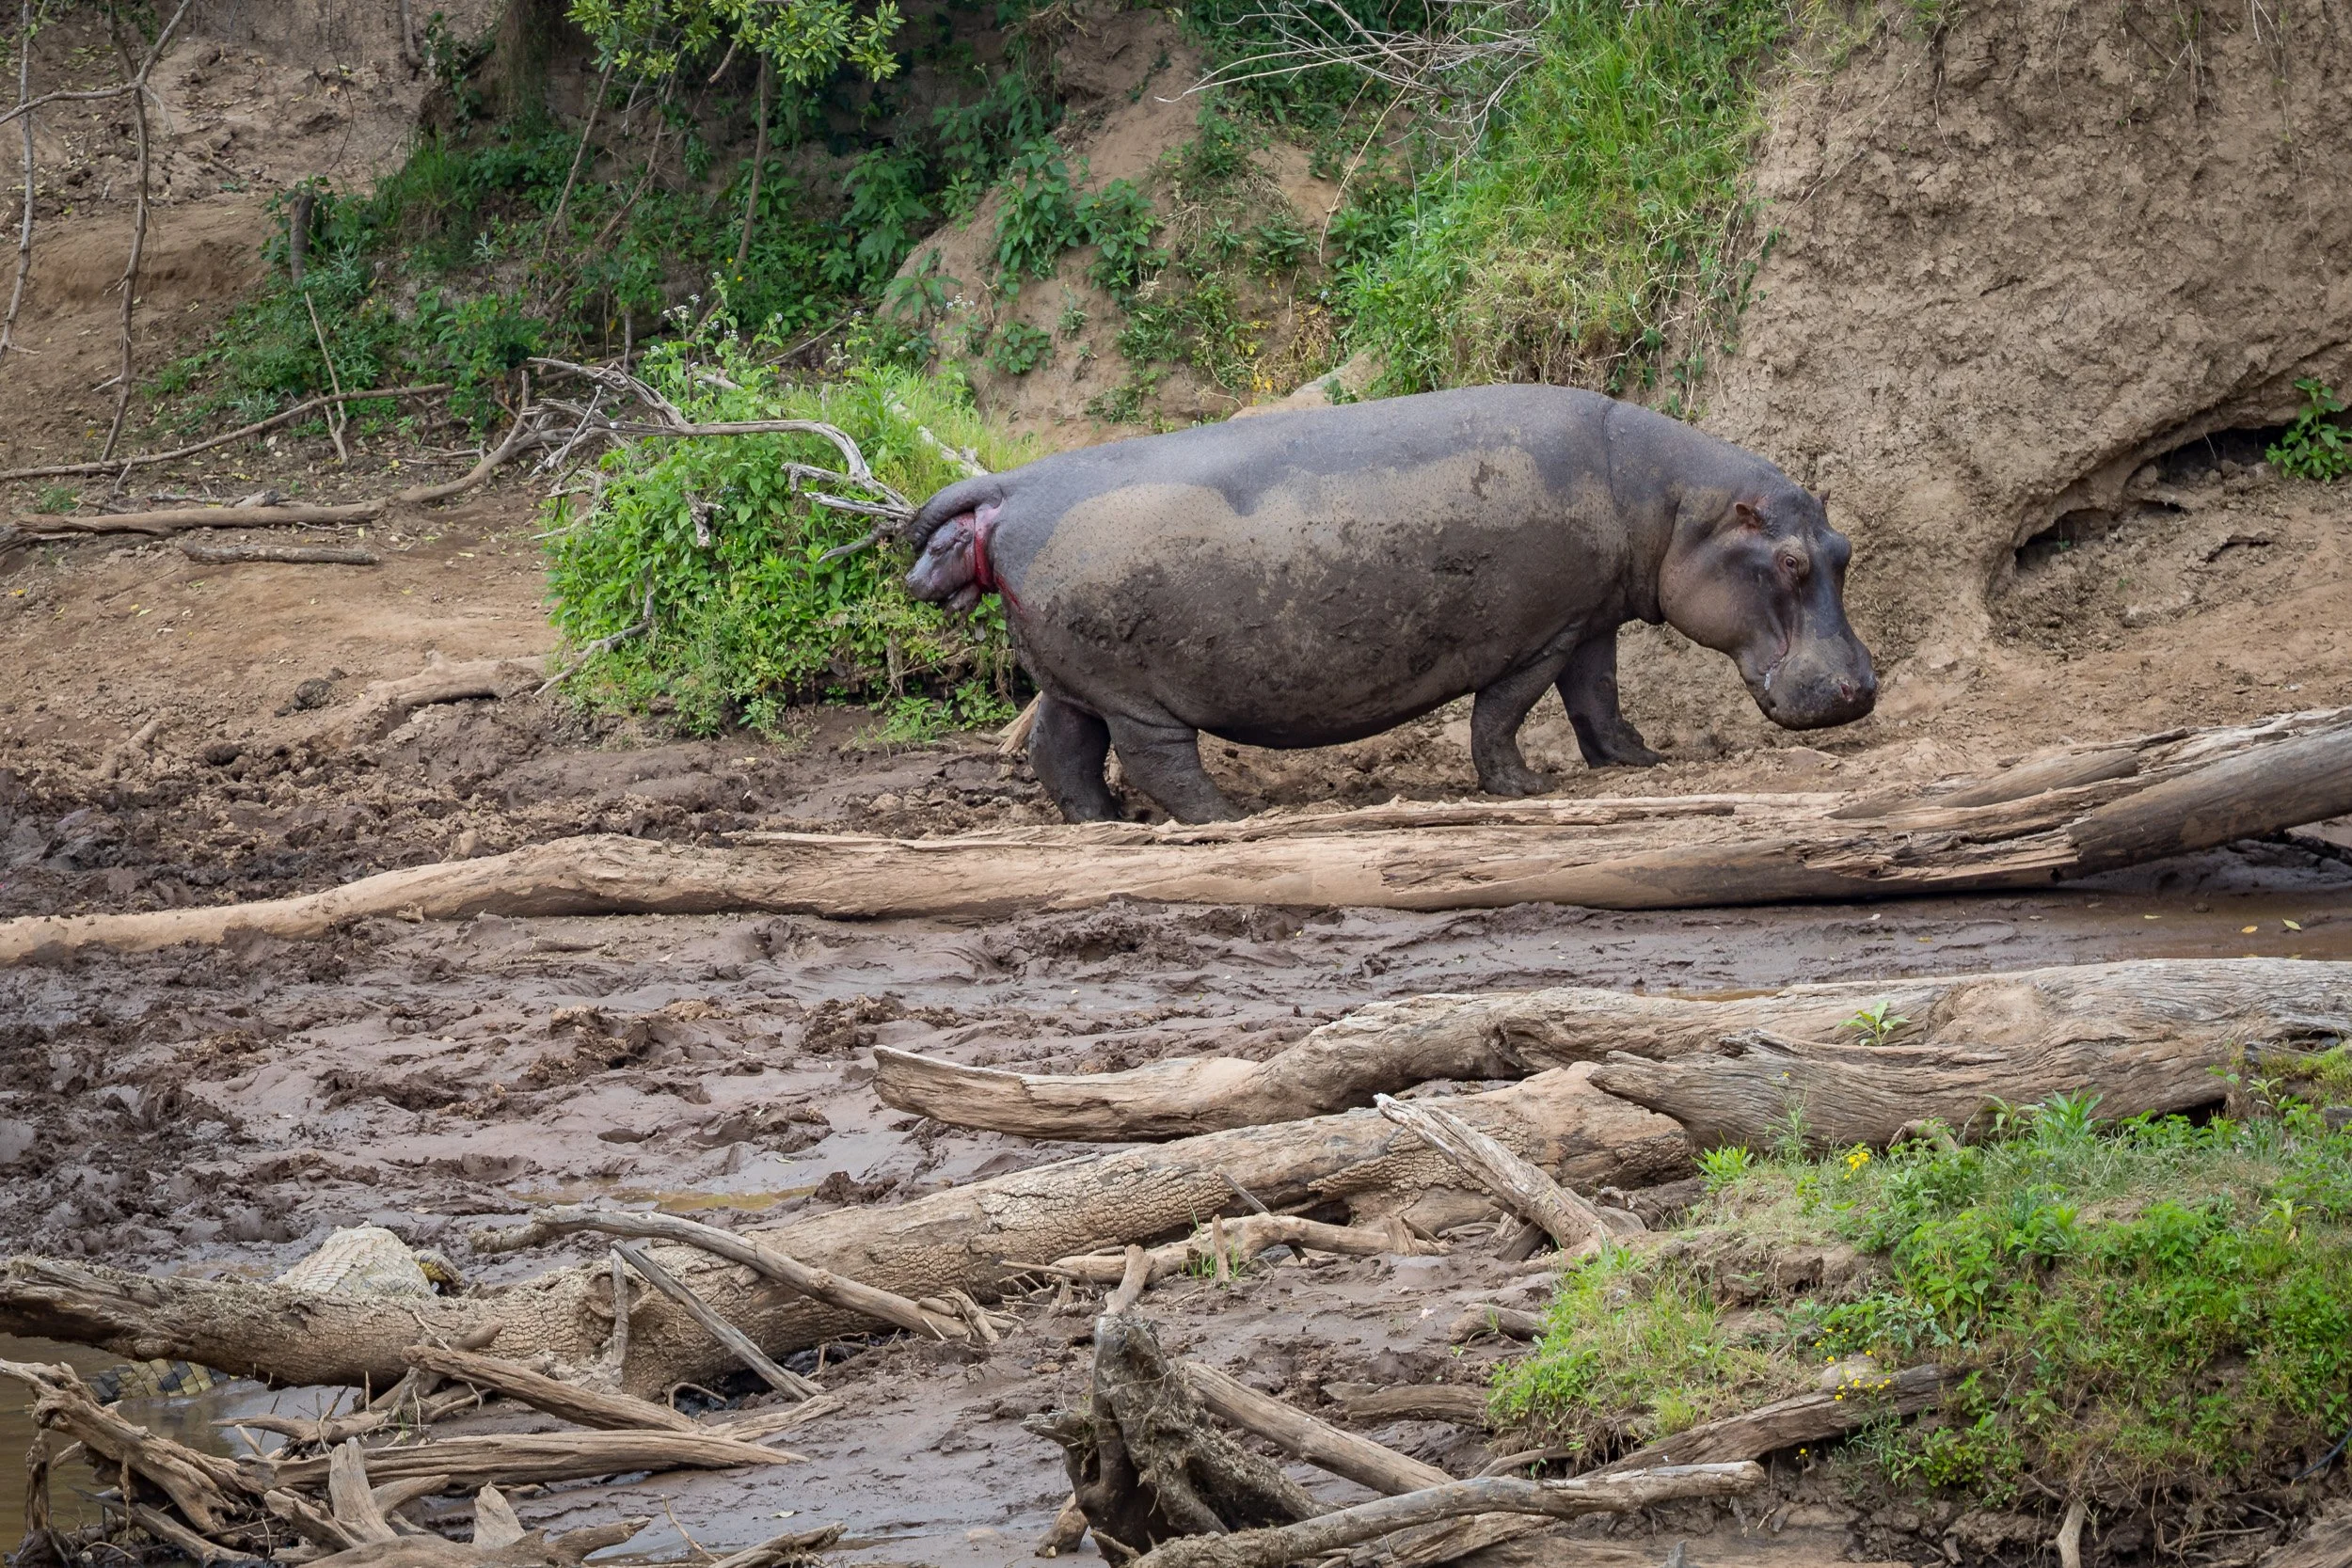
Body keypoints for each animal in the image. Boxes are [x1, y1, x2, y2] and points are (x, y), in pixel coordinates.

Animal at [902, 384, 1874, 823]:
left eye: (1843, 550)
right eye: (1790, 561)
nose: (1861, 688)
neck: (1668, 502)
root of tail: (1012, 484)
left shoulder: (1591, 620)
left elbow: (1599, 700)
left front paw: (1640, 763)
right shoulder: (1541, 635)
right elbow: (1503, 714)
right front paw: (1526, 788)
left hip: (1074, 678)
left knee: (1063, 750)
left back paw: (1103, 822)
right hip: (1135, 690)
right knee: (1158, 759)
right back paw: (1232, 817)